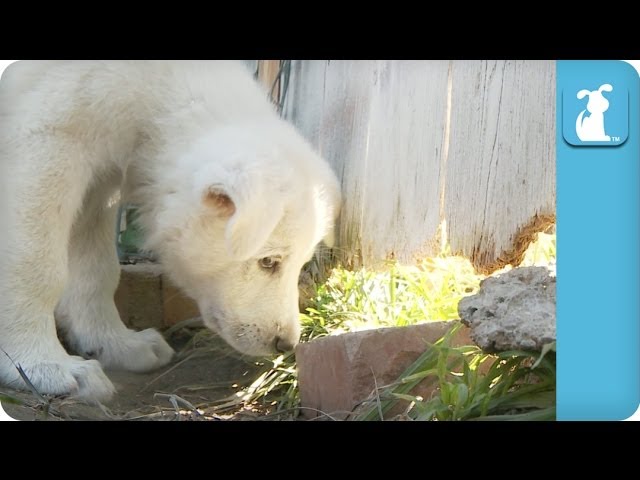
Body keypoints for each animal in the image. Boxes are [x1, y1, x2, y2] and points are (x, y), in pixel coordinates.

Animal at [0, 60, 340, 402]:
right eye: (268, 262)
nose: (285, 344)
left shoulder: (99, 170)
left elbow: (97, 267)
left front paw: (115, 343)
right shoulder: (44, 138)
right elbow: (35, 266)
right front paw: (42, 364)